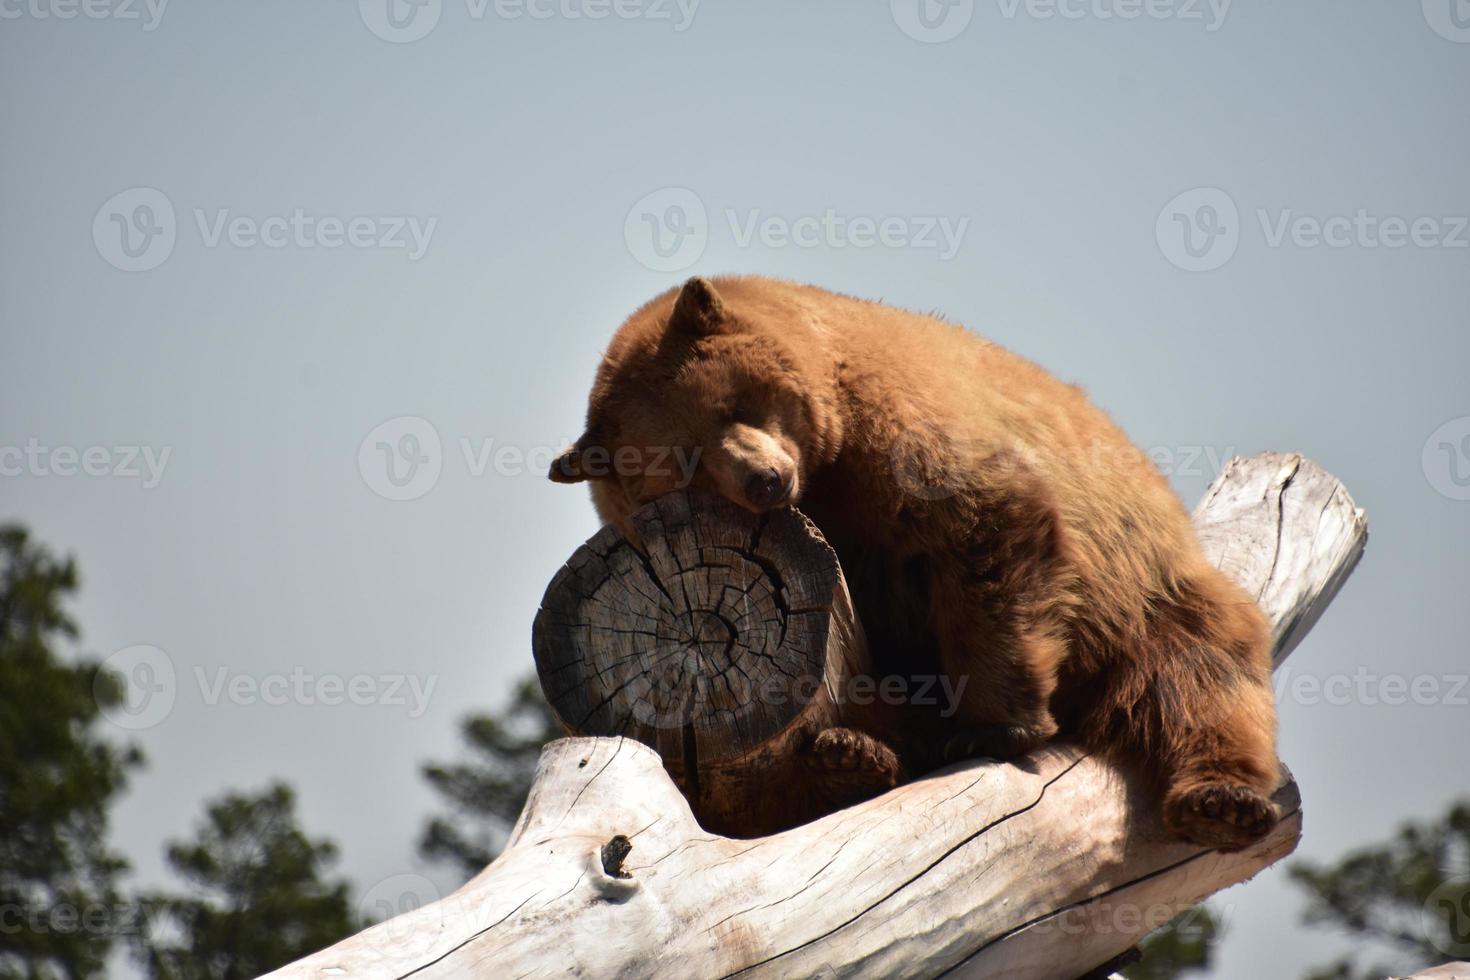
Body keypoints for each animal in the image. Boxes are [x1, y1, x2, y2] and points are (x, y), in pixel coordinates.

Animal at [546, 274, 1281, 852]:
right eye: (686, 461)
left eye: (734, 404)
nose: (765, 480)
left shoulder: (893, 433)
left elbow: (984, 526)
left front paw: (993, 725)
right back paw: (847, 759)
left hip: (1143, 590)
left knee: (1198, 675)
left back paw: (1222, 800)